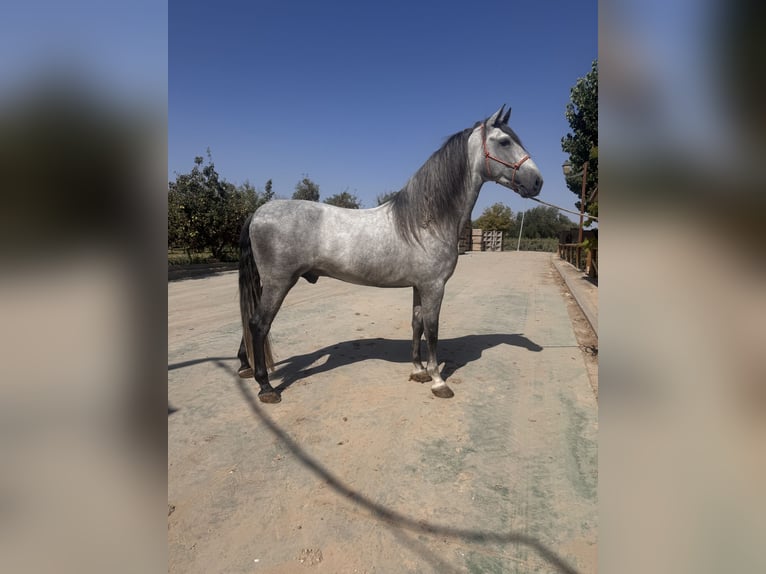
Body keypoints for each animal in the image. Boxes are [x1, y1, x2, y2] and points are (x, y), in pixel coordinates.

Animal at [237, 105, 543, 403]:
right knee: (259, 324)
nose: (538, 182)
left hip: (268, 284)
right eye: (504, 142)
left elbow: (417, 324)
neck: (426, 222)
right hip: (279, 282)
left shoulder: (420, 287)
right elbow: (433, 330)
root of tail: (259, 212)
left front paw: (418, 371)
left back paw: (245, 366)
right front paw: (438, 381)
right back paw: (266, 387)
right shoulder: (434, 287)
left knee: (251, 322)